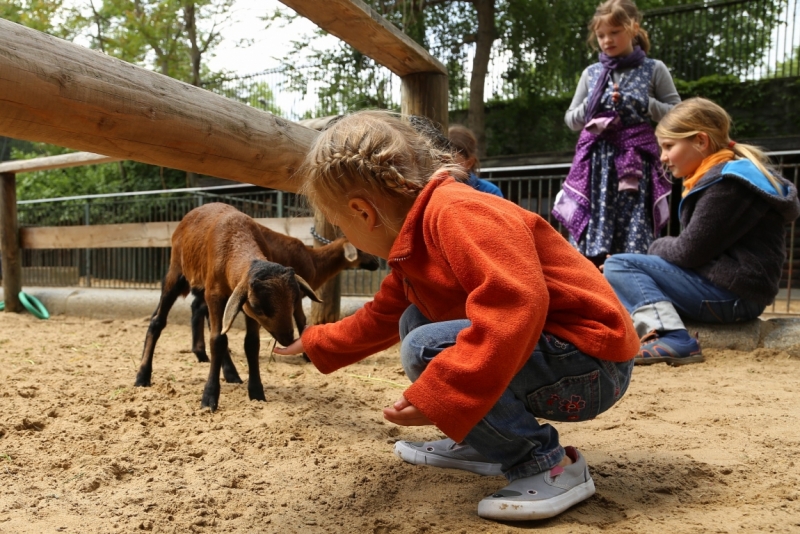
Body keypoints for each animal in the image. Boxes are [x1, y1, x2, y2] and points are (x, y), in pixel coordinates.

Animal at [134, 203, 318, 412]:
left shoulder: (240, 304)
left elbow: (251, 344)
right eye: (258, 307)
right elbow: (217, 340)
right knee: (158, 320)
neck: (236, 239)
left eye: (294, 300)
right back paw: (142, 376)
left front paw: (257, 393)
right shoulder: (216, 295)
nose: (288, 339)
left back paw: (231, 373)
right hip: (177, 273)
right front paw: (209, 398)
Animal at [189, 227, 382, 372]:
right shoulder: (298, 296)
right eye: (361, 249)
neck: (316, 262)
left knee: (200, 307)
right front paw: (306, 355)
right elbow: (301, 320)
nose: (377, 263)